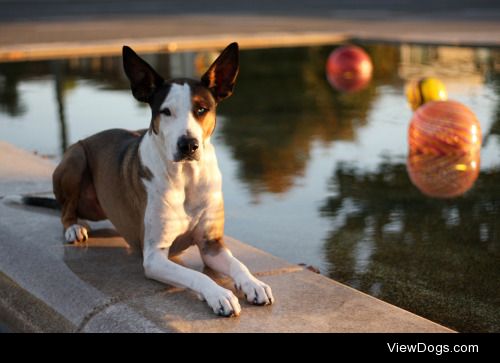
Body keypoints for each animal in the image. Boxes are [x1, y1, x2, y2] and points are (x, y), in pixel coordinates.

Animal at [46, 42, 274, 318]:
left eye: (201, 109)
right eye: (166, 111)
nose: (188, 145)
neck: (186, 177)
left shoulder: (212, 244)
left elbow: (238, 265)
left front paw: (253, 283)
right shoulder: (154, 257)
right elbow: (198, 276)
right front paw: (219, 295)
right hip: (76, 157)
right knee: (66, 210)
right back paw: (73, 227)